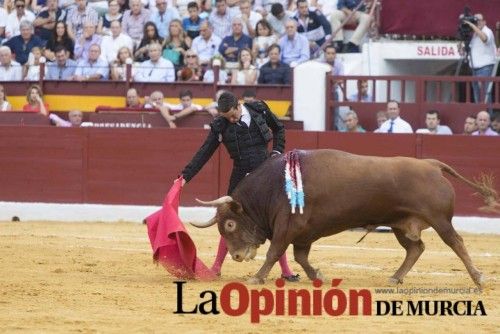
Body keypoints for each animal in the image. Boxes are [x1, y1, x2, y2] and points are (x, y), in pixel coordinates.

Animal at [190, 149, 496, 288]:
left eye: (230, 224)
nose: (237, 256)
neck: (273, 187)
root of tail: (431, 165)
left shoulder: (287, 227)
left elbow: (274, 252)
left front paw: (256, 278)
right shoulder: (304, 234)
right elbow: (300, 257)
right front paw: (318, 275)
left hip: (440, 220)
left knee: (456, 243)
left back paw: (478, 278)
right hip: (401, 224)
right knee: (415, 248)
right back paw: (395, 278)